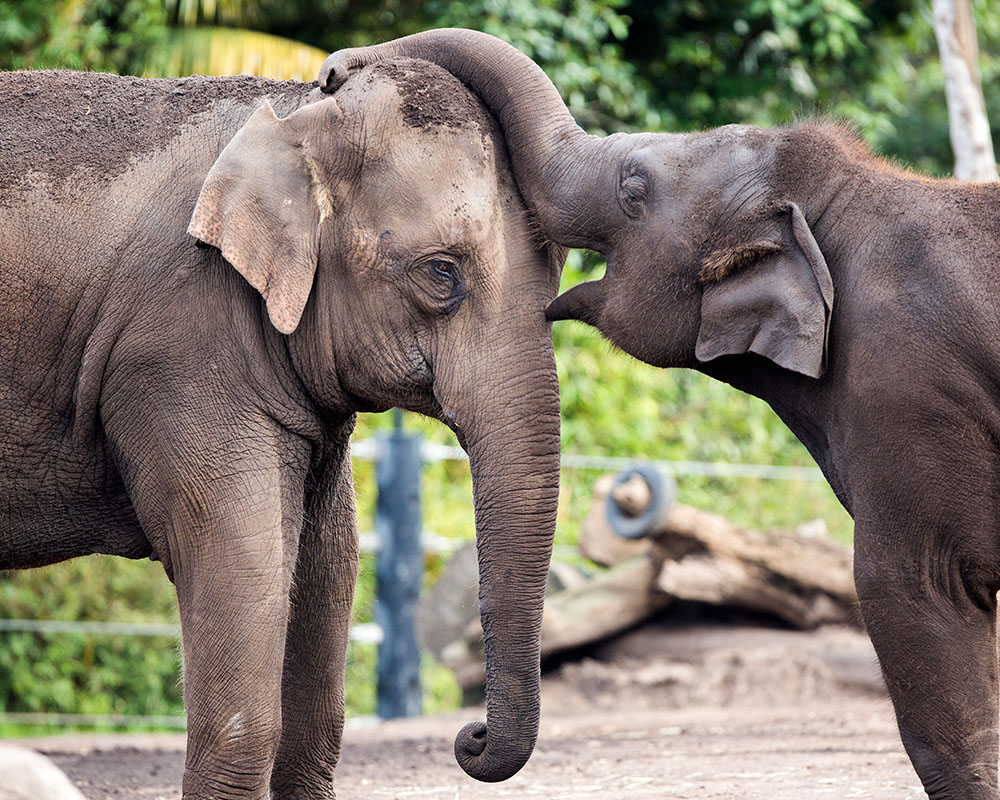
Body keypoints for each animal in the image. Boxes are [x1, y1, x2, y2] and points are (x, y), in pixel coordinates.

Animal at [0, 57, 565, 797]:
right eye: (443, 274)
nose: (469, 739)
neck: (297, 114)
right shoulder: (181, 344)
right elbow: (244, 565)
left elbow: (327, 566)